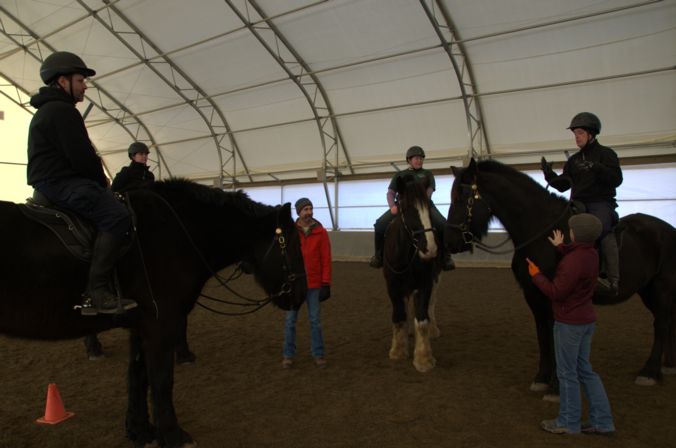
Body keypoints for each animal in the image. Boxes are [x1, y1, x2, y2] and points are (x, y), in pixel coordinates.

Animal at [0, 179, 306, 448]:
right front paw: (173, 436)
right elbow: (161, 380)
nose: (302, 294)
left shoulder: (141, 326)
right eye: (292, 245)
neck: (176, 233)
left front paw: (140, 431)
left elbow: (137, 376)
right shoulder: (160, 325)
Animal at [386, 173, 444, 372]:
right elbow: (399, 316)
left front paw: (424, 358)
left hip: (435, 278)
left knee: (432, 305)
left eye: (428, 209)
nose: (430, 249)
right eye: (409, 209)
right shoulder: (393, 286)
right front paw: (397, 351)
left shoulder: (425, 283)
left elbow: (422, 319)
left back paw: (433, 329)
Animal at [444, 158, 676, 396]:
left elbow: (555, 337)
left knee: (661, 324)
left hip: (662, 287)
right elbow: (543, 335)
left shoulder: (556, 295)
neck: (542, 232)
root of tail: (668, 229)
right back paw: (666, 366)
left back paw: (649, 372)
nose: (451, 241)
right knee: (666, 322)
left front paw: (556, 387)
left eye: (462, 196)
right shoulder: (533, 296)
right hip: (648, 290)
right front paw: (542, 379)